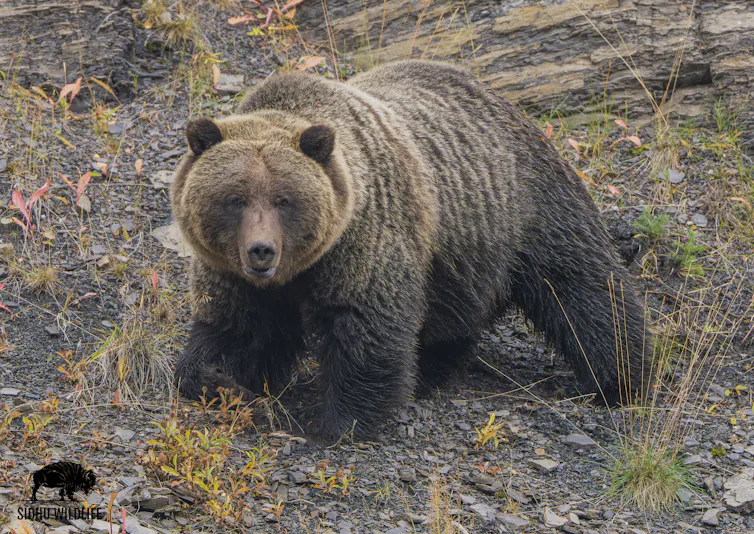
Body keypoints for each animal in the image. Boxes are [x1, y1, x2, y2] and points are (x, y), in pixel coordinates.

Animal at [171, 60, 650, 441]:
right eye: (235, 198)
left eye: (284, 200)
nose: (262, 251)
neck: (301, 270)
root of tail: (503, 101)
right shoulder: (234, 274)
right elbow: (236, 331)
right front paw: (225, 382)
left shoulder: (365, 240)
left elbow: (368, 329)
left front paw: (338, 422)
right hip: (458, 257)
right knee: (452, 318)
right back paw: (434, 369)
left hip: (523, 208)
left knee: (582, 288)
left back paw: (620, 379)